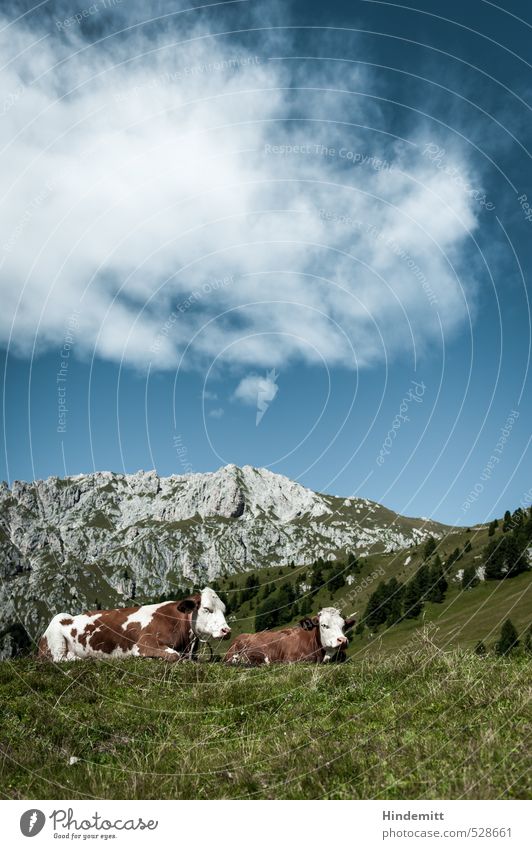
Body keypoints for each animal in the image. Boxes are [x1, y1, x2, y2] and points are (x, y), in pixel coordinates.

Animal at [37, 588, 229, 660]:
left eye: (224, 609)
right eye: (207, 609)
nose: (226, 630)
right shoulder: (144, 644)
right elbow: (174, 655)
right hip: (56, 639)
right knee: (59, 658)